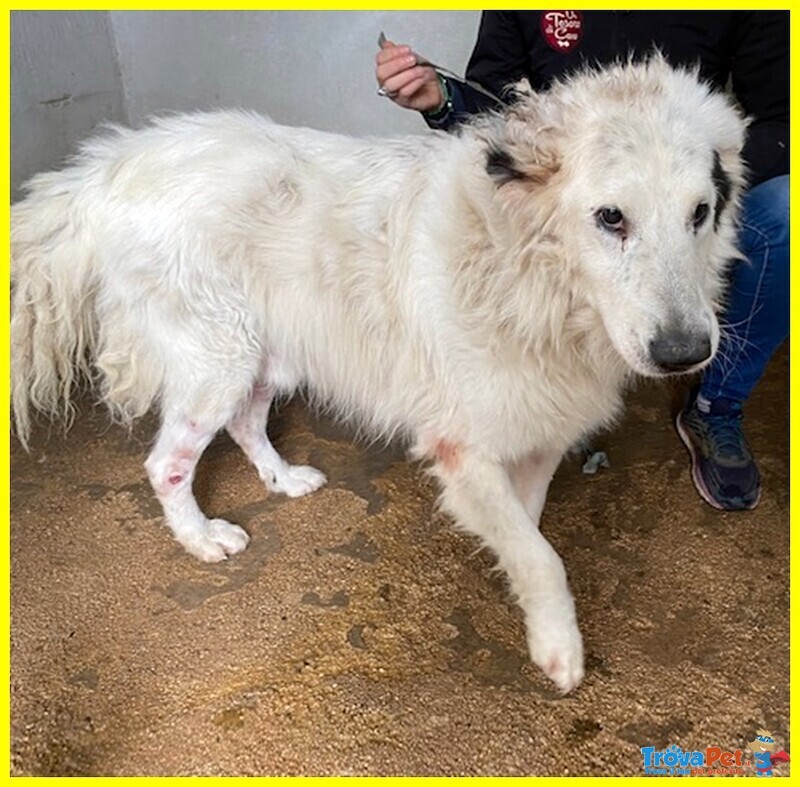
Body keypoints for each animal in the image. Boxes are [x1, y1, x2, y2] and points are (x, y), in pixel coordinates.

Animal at [12, 58, 748, 692]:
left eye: (700, 213)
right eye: (610, 217)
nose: (685, 353)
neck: (526, 273)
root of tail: (109, 165)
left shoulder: (539, 431)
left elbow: (529, 531)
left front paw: (521, 593)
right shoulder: (462, 444)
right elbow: (543, 555)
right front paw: (559, 648)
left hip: (271, 352)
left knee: (247, 422)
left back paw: (283, 480)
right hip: (217, 361)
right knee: (166, 463)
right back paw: (201, 539)